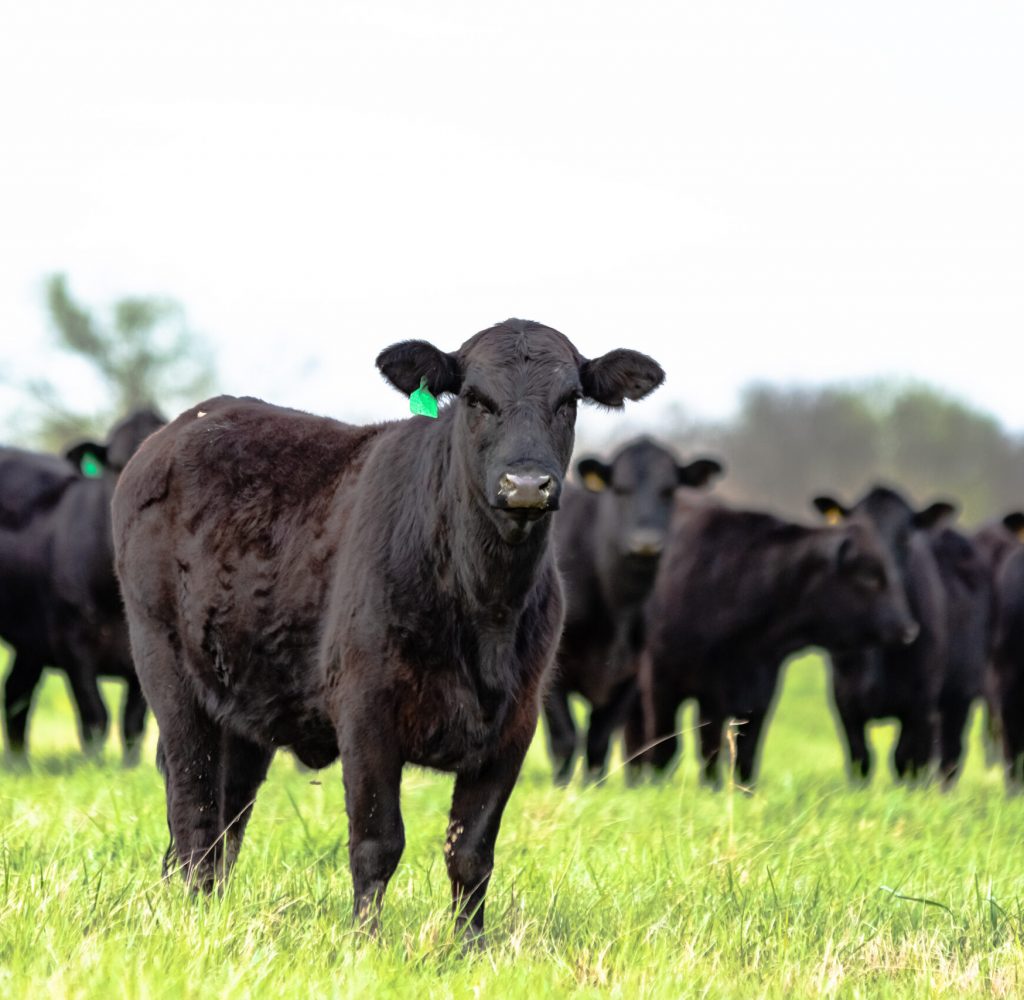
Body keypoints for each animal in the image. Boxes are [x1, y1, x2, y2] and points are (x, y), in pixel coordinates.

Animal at [0, 405, 163, 765]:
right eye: (116, 465)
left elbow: (133, 722)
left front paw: (129, 769)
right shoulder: (72, 643)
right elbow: (95, 715)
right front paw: (94, 766)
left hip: (31, 643)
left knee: (16, 692)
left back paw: (20, 763)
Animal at [114, 317, 663, 937]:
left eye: (568, 400)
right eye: (475, 398)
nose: (526, 485)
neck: (484, 606)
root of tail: (183, 426)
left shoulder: (515, 725)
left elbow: (471, 852)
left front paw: (469, 945)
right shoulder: (365, 711)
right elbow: (377, 842)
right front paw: (365, 940)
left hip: (243, 700)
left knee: (227, 814)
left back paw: (206, 906)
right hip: (165, 667)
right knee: (194, 805)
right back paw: (190, 912)